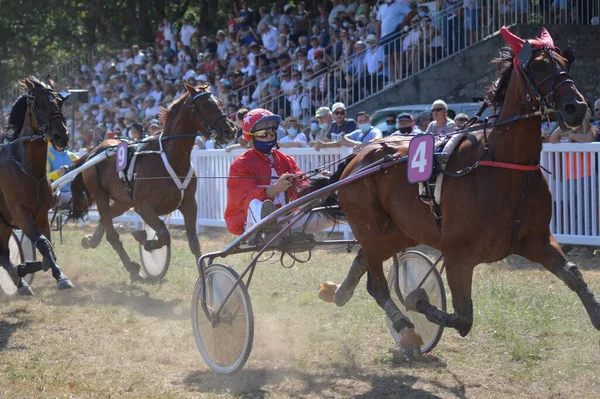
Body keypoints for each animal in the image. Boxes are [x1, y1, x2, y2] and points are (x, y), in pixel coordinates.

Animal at [0, 76, 74, 296]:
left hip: (3, 224)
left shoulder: (41, 214)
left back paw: (21, 282)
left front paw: (26, 268)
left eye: (59, 102)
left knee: (3, 253)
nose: (61, 136)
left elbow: (48, 251)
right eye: (39, 105)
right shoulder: (20, 212)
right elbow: (42, 242)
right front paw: (62, 278)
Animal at [71, 83, 236, 282]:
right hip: (100, 194)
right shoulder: (143, 206)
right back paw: (132, 268)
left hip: (123, 201)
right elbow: (164, 235)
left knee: (107, 218)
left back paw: (92, 241)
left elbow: (194, 242)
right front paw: (145, 240)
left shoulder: (189, 204)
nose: (230, 130)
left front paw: (207, 281)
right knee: (112, 233)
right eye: (204, 104)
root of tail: (95, 150)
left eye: (219, 102)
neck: (171, 158)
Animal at [318, 27, 600, 354]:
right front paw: (419, 301)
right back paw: (405, 328)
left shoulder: (537, 241)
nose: (576, 108)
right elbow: (463, 319)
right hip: (369, 223)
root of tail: (358, 156)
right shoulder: (457, 256)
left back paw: (336, 292)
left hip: (401, 229)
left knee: (365, 257)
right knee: (377, 282)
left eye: (566, 63)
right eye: (536, 66)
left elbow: (574, 275)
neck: (505, 165)